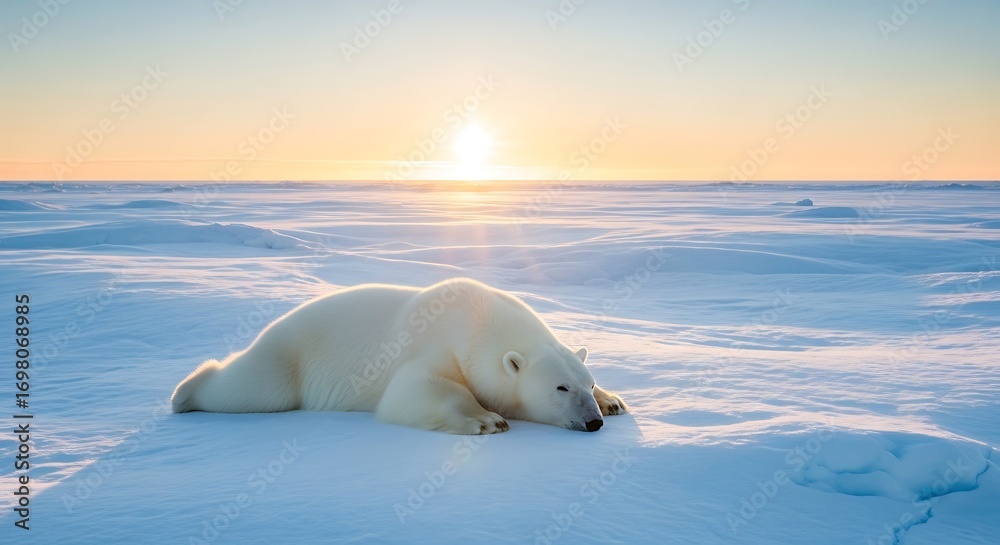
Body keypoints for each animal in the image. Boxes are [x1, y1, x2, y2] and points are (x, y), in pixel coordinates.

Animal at [171, 278, 628, 434]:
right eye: (560, 387)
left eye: (585, 383)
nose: (593, 423)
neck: (476, 318)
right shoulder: (438, 345)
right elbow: (414, 390)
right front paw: (486, 420)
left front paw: (614, 400)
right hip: (286, 361)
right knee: (250, 388)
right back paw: (184, 393)